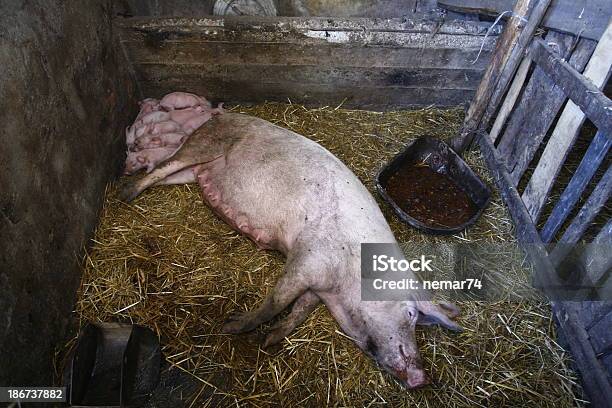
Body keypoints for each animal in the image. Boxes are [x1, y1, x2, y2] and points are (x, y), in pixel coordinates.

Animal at [119, 113, 462, 388]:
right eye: (411, 313)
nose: (421, 378)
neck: (342, 283)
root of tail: (222, 114)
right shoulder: (308, 255)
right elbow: (277, 300)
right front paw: (233, 327)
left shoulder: (317, 287)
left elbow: (300, 309)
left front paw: (271, 339)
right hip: (205, 143)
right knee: (163, 166)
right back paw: (126, 194)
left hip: (194, 170)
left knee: (168, 175)